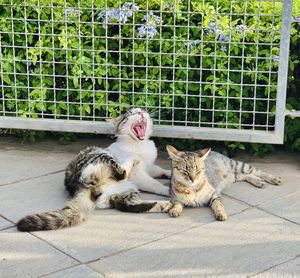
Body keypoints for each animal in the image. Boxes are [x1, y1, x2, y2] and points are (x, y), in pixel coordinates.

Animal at [17, 107, 171, 231]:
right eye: (130, 114)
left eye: (142, 110)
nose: (141, 112)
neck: (139, 144)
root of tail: (76, 186)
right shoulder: (139, 174)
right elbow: (153, 183)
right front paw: (166, 188)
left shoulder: (149, 166)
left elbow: (159, 170)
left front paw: (169, 173)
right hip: (99, 153)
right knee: (122, 173)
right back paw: (132, 162)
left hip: (125, 191)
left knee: (130, 205)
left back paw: (166, 205)